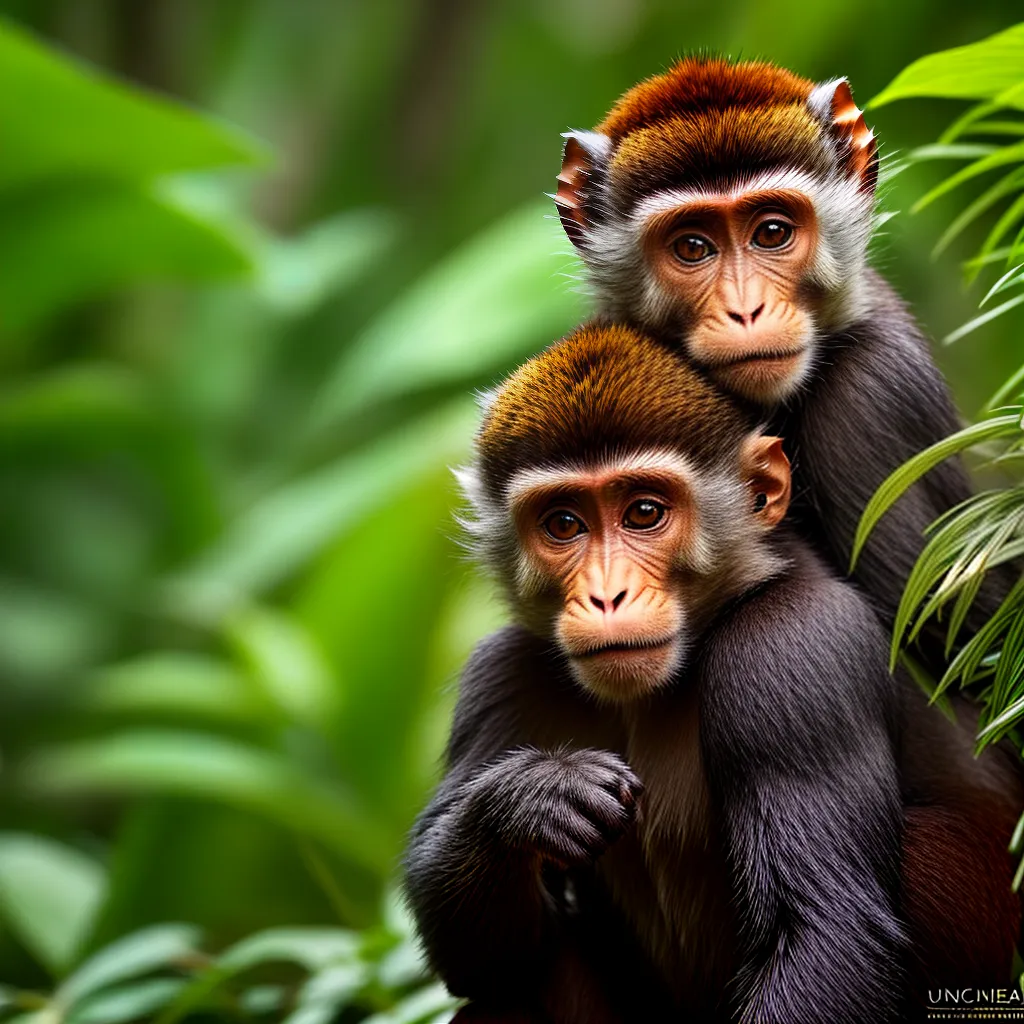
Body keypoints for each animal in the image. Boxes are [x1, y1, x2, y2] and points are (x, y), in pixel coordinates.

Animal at [406, 322, 1021, 1023]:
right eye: (563, 523)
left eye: (645, 512)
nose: (607, 597)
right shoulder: (503, 672)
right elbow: (480, 961)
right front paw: (532, 797)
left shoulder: (793, 646)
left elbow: (826, 937)